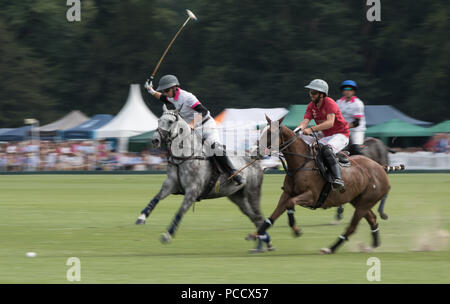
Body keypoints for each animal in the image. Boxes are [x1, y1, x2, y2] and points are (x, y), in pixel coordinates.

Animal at [135, 107, 270, 249]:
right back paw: (265, 243)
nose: (155, 140)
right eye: (158, 120)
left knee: (258, 217)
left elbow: (180, 211)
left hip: (253, 192)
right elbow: (155, 198)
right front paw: (141, 217)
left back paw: (261, 245)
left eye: (170, 121)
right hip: (237, 196)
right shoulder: (170, 184)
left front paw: (167, 235)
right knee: (254, 217)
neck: (184, 156)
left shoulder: (193, 190)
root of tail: (256, 160)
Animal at [250, 116, 404, 254]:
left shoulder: (311, 196)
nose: (253, 152)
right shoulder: (287, 193)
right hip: (359, 201)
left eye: (271, 133)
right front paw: (256, 234)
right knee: (372, 219)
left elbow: (290, 204)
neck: (301, 164)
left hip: (365, 203)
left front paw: (296, 229)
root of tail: (380, 167)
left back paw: (331, 248)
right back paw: (372, 245)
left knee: (352, 227)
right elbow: (272, 216)